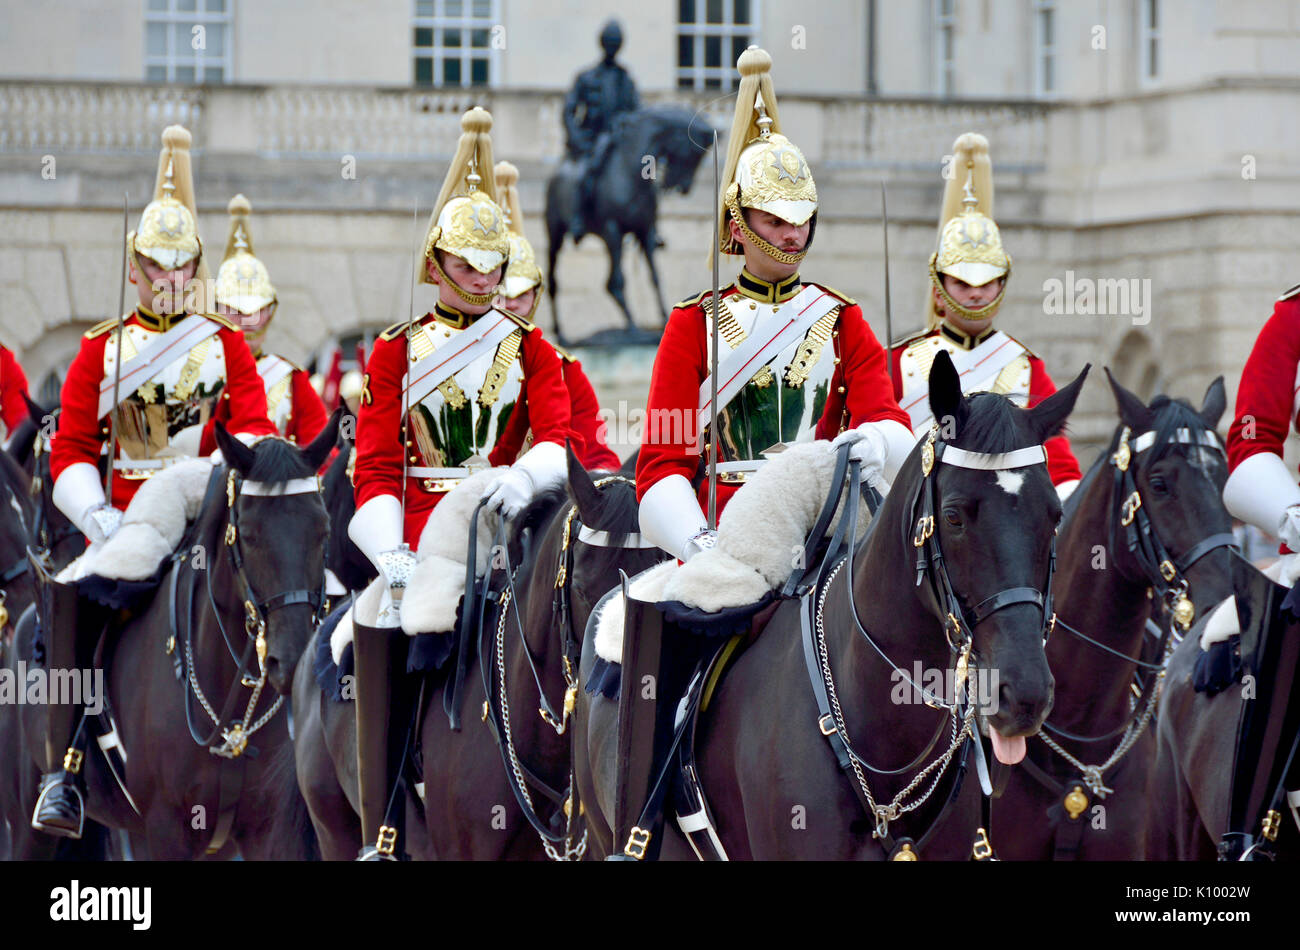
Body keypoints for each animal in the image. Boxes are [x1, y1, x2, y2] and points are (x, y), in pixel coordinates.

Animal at [3, 423, 335, 862]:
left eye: (323, 530)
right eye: (248, 534)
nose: (293, 657)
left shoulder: (268, 831)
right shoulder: (162, 831)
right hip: (29, 826)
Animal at [546, 103, 717, 345]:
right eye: (693, 153)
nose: (683, 188)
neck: (629, 172)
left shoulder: (646, 231)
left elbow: (655, 277)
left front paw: (664, 319)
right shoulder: (612, 230)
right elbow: (617, 281)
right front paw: (634, 329)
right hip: (556, 234)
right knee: (554, 281)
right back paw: (560, 334)